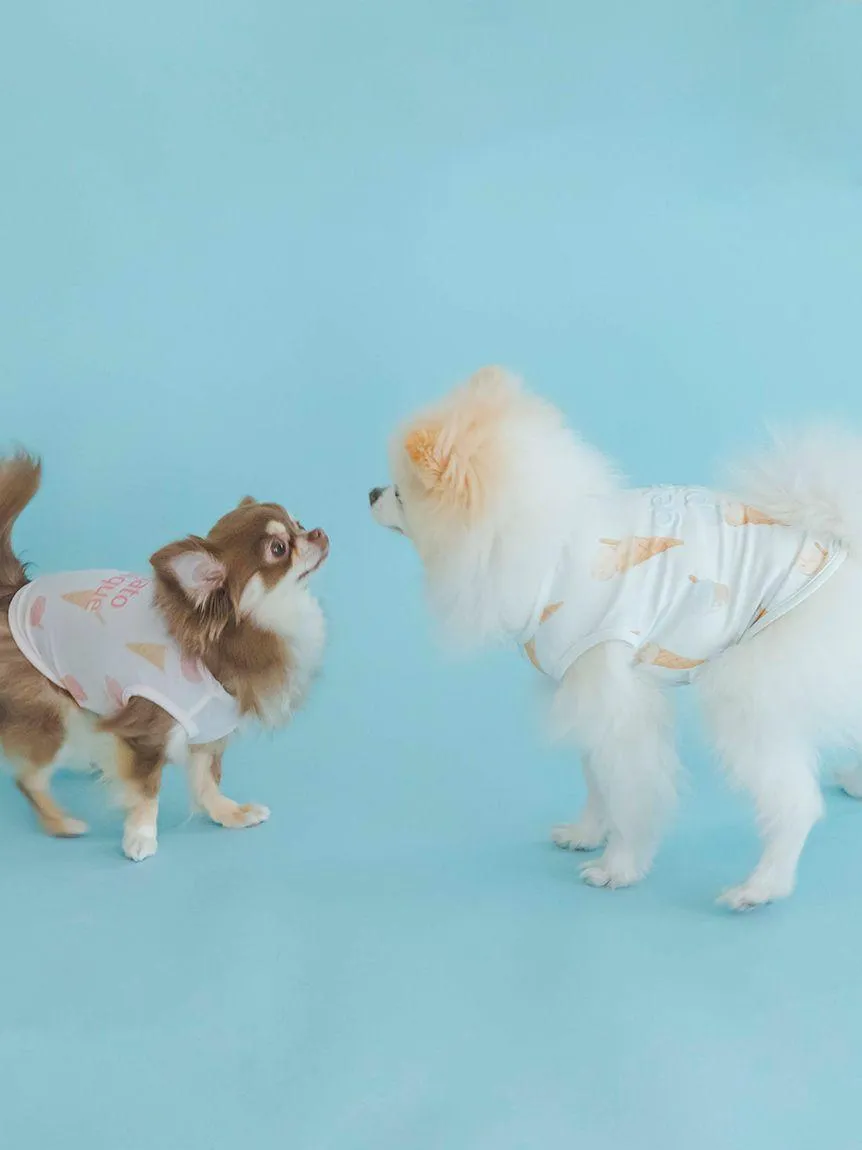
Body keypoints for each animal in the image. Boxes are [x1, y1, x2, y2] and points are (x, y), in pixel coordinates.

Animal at [0, 452, 328, 861]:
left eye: (300, 524)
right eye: (279, 549)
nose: (319, 532)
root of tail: (15, 593)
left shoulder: (208, 731)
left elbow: (206, 781)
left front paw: (229, 814)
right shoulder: (147, 731)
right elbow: (146, 790)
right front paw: (140, 836)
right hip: (53, 718)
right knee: (28, 778)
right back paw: (61, 823)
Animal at [369, 366, 862, 909]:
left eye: (400, 493)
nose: (369, 493)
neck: (549, 545)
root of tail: (839, 543)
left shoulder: (613, 697)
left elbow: (629, 790)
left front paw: (619, 866)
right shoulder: (584, 691)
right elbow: (597, 780)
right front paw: (587, 833)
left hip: (749, 693)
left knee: (795, 802)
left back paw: (761, 886)